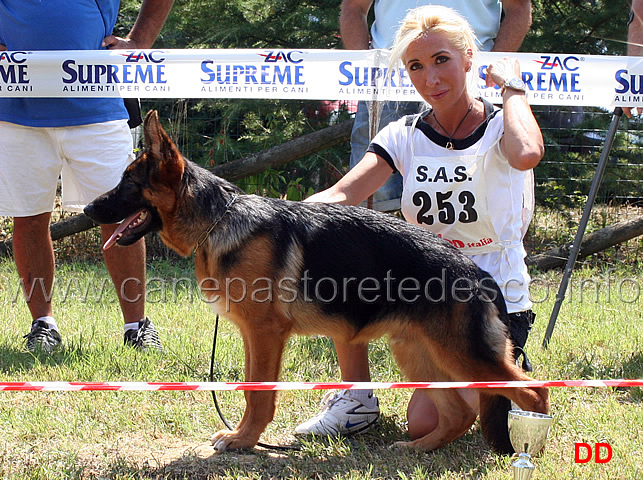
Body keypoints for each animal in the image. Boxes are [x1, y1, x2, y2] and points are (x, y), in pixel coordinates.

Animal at [84, 110, 548, 456]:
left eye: (128, 183)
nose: (88, 209)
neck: (219, 219)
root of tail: (479, 276)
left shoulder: (266, 334)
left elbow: (259, 394)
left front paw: (244, 440)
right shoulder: (254, 336)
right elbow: (251, 388)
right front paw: (244, 436)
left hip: (462, 355)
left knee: (532, 391)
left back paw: (527, 450)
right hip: (419, 354)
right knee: (458, 414)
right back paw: (418, 448)